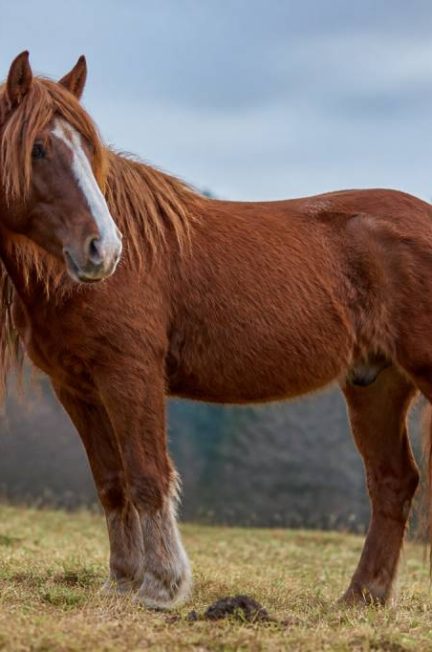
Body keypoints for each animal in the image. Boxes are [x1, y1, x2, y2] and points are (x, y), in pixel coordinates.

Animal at [0, 50, 430, 609]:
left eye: (88, 150)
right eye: (37, 148)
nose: (103, 250)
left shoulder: (130, 374)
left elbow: (147, 474)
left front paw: (162, 587)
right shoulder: (76, 388)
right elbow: (111, 482)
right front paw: (121, 581)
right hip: (375, 385)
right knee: (391, 482)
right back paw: (363, 596)